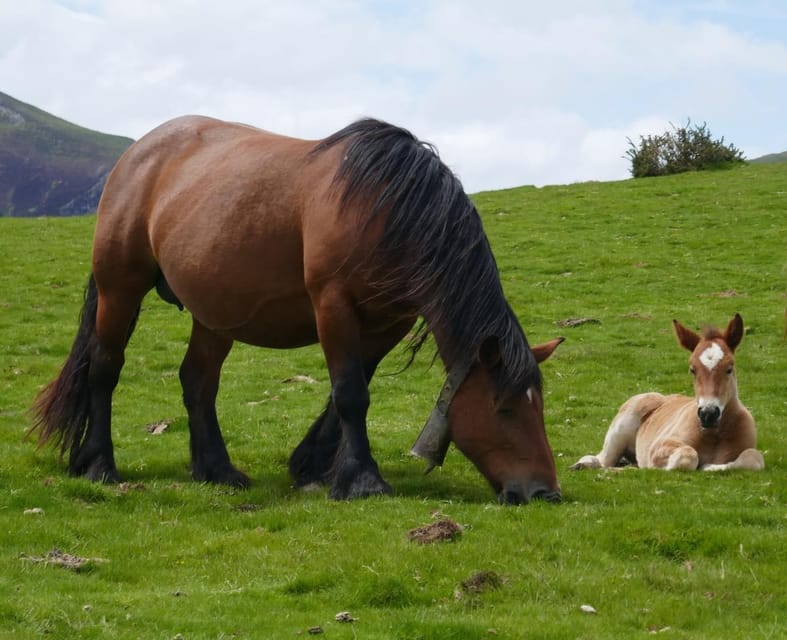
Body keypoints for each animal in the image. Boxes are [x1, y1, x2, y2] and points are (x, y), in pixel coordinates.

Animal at [30, 115, 564, 504]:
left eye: (538, 406)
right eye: (504, 407)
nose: (545, 492)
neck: (388, 209)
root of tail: (138, 152)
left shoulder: (388, 323)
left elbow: (349, 391)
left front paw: (312, 466)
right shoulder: (333, 306)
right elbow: (350, 393)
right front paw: (362, 480)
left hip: (215, 312)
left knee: (198, 381)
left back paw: (217, 470)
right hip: (120, 288)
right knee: (105, 368)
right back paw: (99, 464)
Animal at [572, 314, 764, 470]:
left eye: (729, 368)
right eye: (692, 369)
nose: (708, 414)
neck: (714, 434)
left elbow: (753, 459)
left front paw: (710, 466)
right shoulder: (660, 445)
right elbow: (687, 456)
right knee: (602, 460)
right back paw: (584, 464)